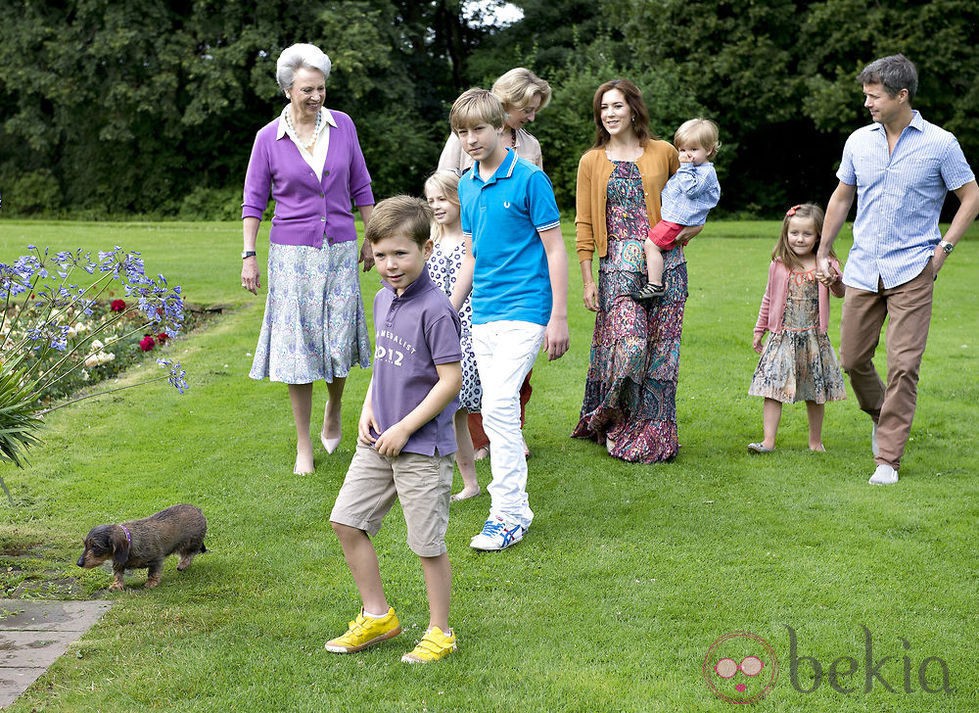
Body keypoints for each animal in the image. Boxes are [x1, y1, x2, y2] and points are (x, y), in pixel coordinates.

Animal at [77, 500, 208, 588]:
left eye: (95, 546)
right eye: (85, 545)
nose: (79, 563)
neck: (130, 541)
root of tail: (198, 510)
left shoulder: (156, 559)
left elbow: (153, 572)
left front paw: (151, 583)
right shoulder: (118, 562)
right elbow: (118, 574)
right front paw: (116, 585)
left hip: (192, 542)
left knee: (189, 554)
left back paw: (183, 565)